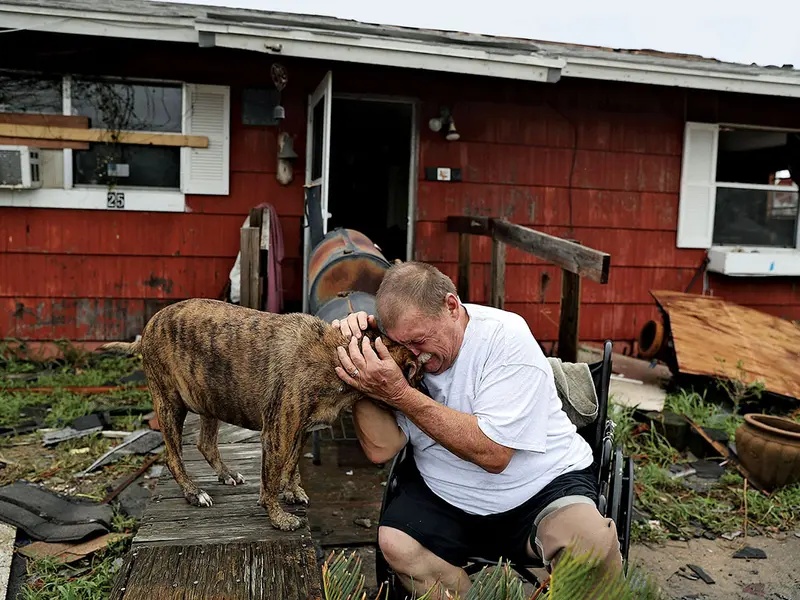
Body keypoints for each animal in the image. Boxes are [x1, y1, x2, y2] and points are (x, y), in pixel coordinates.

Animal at [101, 298, 424, 528]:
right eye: (418, 375)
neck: (340, 354)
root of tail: (147, 329)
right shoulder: (277, 435)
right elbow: (270, 479)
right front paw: (278, 517)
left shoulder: (301, 431)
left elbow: (291, 465)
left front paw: (291, 491)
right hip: (170, 405)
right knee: (172, 456)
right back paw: (193, 492)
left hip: (209, 397)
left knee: (206, 444)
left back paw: (226, 474)